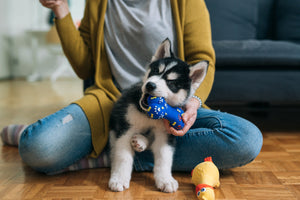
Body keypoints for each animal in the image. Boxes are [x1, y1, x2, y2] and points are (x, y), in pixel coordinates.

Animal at [108, 38, 209, 193]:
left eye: (171, 82)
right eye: (155, 71)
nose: (150, 85)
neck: (149, 115)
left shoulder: (166, 133)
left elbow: (164, 157)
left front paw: (166, 180)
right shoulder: (125, 127)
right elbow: (123, 156)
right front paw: (119, 179)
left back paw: (140, 141)